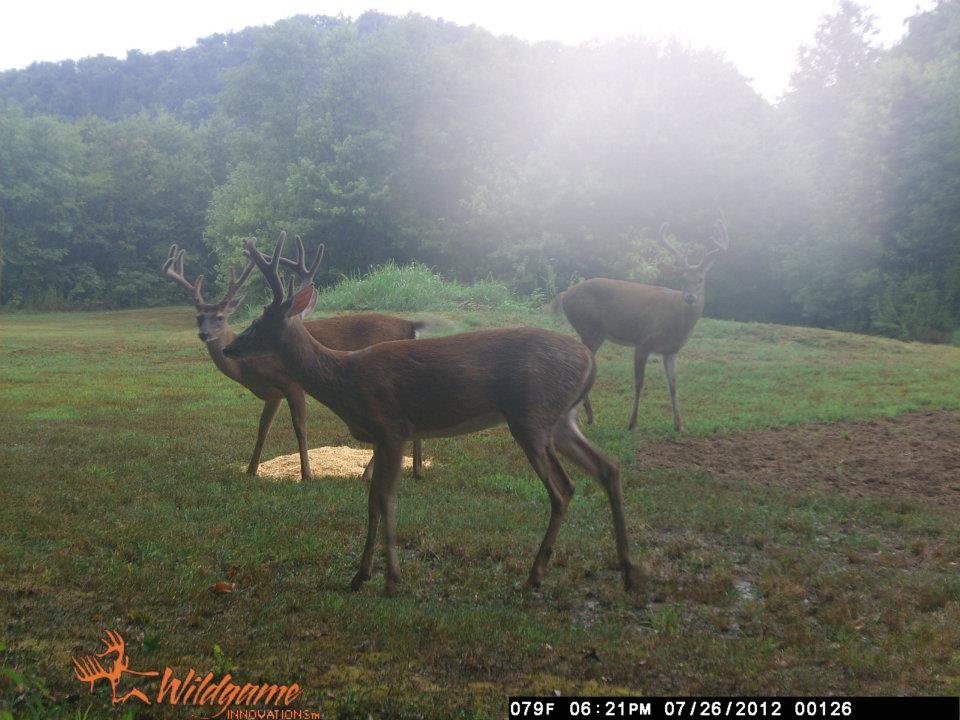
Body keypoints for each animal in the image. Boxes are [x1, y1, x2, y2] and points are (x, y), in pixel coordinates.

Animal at [162, 235, 424, 481]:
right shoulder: (273, 394)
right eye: (198, 317)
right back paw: (416, 470)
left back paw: (371, 473)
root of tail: (411, 326)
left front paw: (306, 474)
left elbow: (299, 427)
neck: (249, 370)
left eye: (220, 317)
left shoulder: (291, 383)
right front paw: (251, 470)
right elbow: (262, 429)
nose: (205, 335)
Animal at [222, 234, 640, 596]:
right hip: (561, 420)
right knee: (608, 467)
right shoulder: (381, 437)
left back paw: (534, 577)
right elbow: (371, 500)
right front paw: (359, 576)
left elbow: (386, 499)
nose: (229, 348)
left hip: (531, 415)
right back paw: (628, 572)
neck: (345, 379)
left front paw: (391, 580)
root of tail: (588, 360)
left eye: (257, 323)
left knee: (563, 489)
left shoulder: (392, 427)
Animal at [554, 213, 729, 432]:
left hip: (592, 332)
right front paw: (632, 423)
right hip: (590, 329)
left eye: (701, 279)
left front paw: (679, 425)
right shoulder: (643, 342)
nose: (689, 297)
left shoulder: (671, 351)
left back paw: (587, 417)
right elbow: (639, 382)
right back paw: (590, 417)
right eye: (681, 279)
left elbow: (673, 385)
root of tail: (564, 294)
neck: (675, 322)